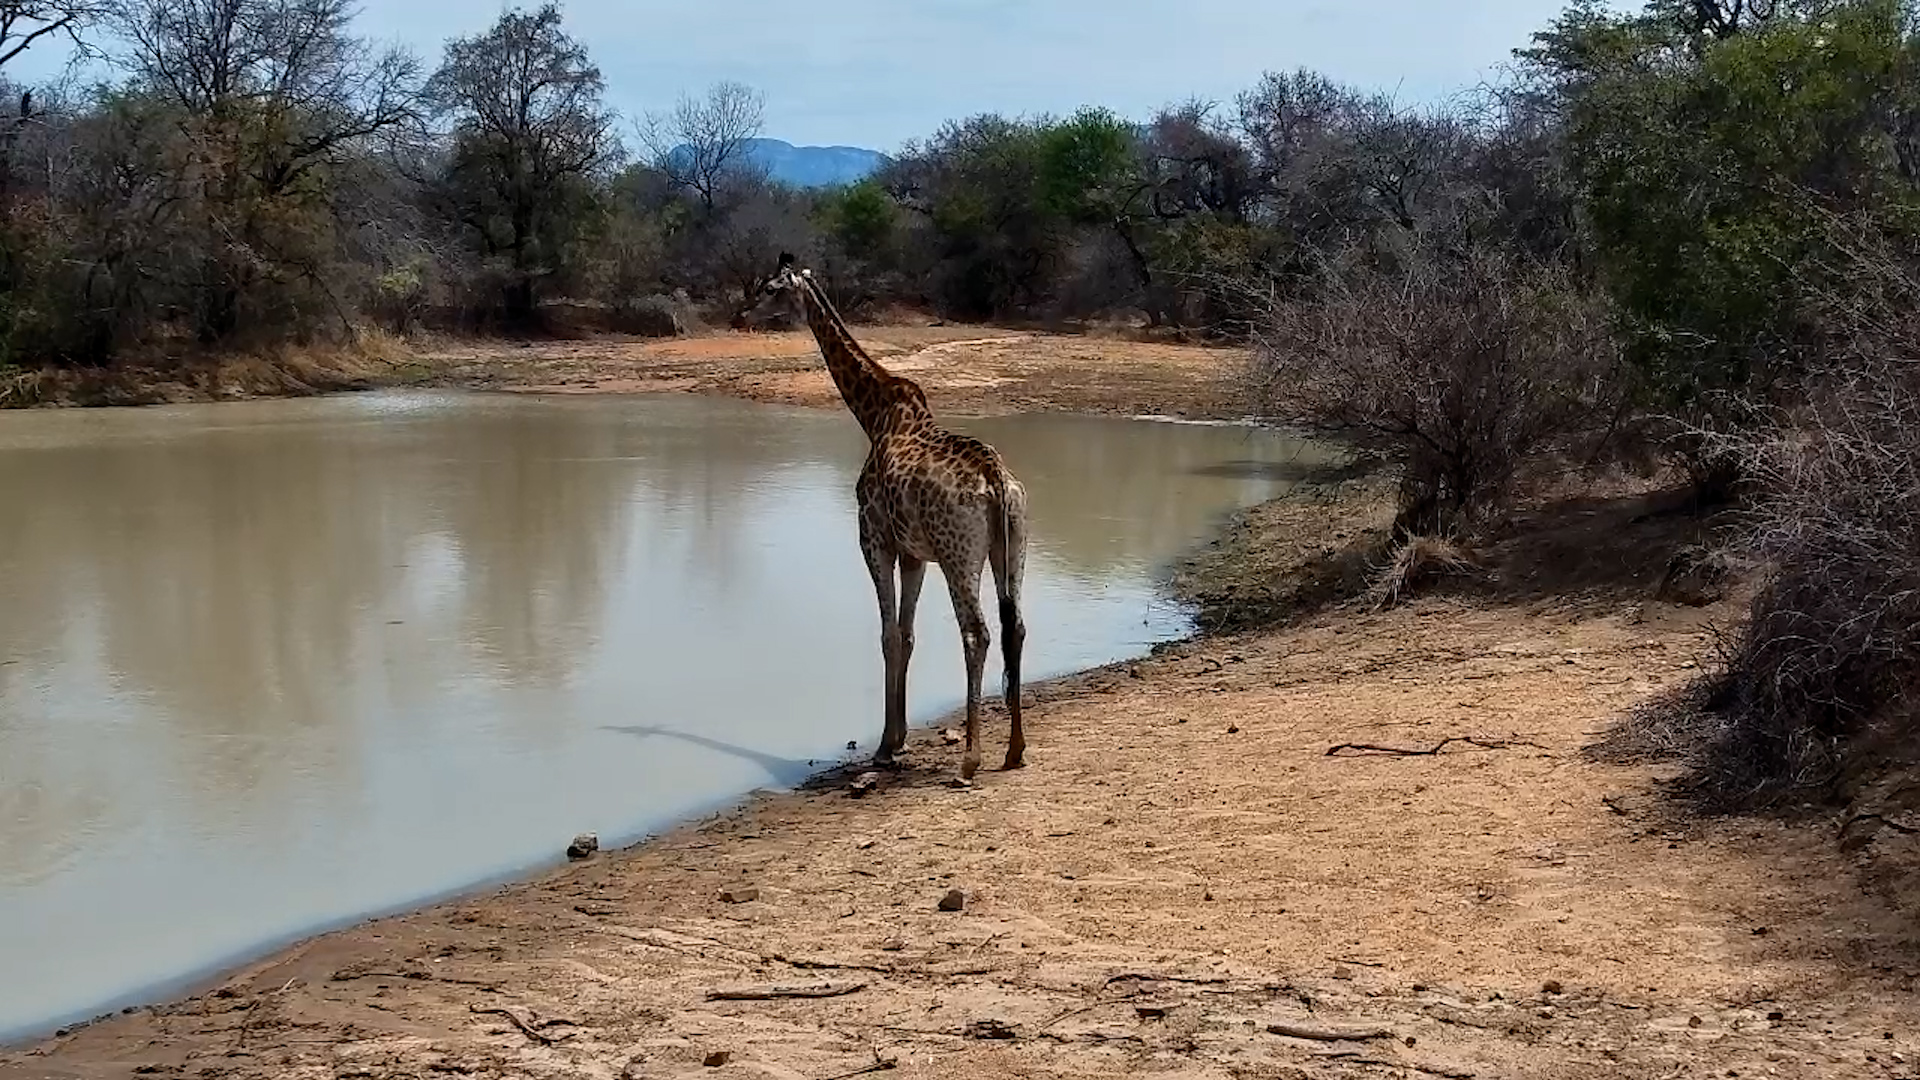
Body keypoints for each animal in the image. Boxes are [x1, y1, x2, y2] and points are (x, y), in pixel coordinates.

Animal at [742, 253, 1029, 780]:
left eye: (770, 288)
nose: (742, 313)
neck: (872, 414)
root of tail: (997, 480)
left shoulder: (873, 539)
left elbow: (887, 634)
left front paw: (884, 745)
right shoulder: (914, 554)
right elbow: (908, 633)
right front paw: (898, 738)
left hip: (959, 555)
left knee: (976, 633)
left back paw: (970, 759)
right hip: (1013, 544)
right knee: (1013, 627)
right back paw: (1015, 750)